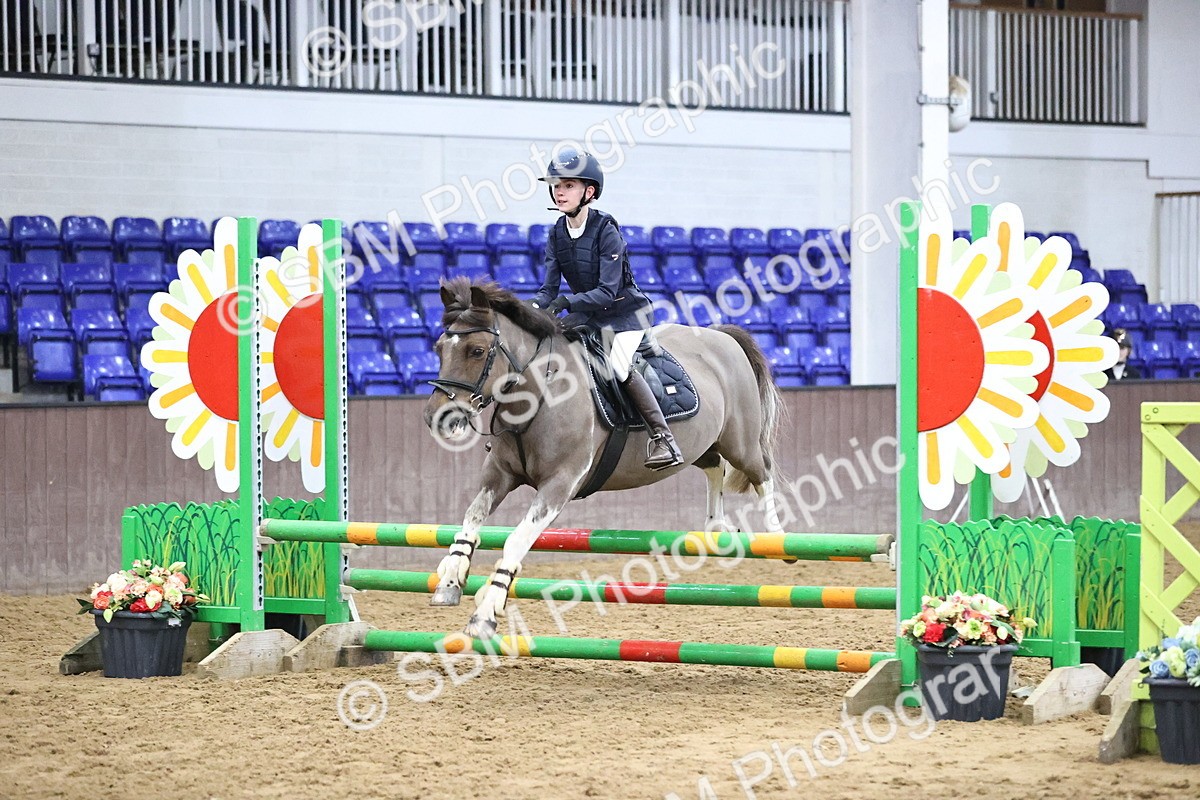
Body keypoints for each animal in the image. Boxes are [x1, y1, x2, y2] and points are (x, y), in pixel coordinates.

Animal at [423, 278, 786, 639]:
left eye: (477, 350)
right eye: (439, 348)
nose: (436, 418)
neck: (540, 392)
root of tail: (722, 336)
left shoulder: (560, 483)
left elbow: (516, 540)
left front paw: (485, 613)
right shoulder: (499, 473)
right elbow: (471, 519)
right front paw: (450, 581)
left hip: (740, 443)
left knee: (762, 472)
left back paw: (776, 536)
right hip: (702, 444)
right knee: (714, 466)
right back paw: (715, 527)